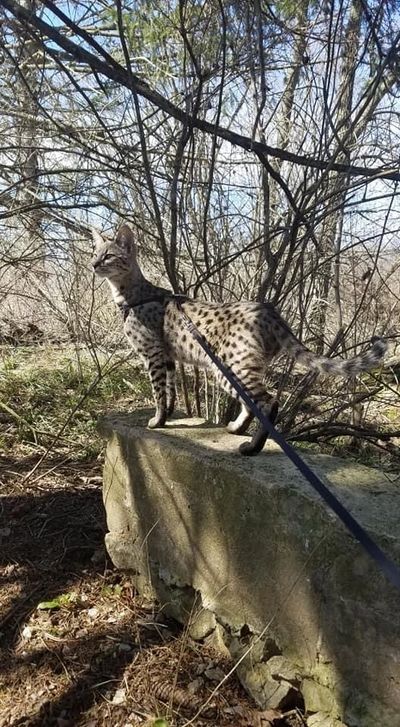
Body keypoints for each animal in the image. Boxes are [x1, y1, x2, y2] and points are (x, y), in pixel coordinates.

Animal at [92, 225, 386, 458]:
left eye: (108, 255)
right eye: (95, 254)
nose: (93, 265)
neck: (130, 295)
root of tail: (268, 309)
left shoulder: (152, 354)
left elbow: (158, 392)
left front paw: (156, 420)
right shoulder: (168, 357)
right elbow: (170, 390)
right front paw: (167, 418)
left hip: (228, 368)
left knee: (268, 403)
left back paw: (252, 447)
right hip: (236, 367)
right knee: (251, 403)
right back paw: (237, 428)